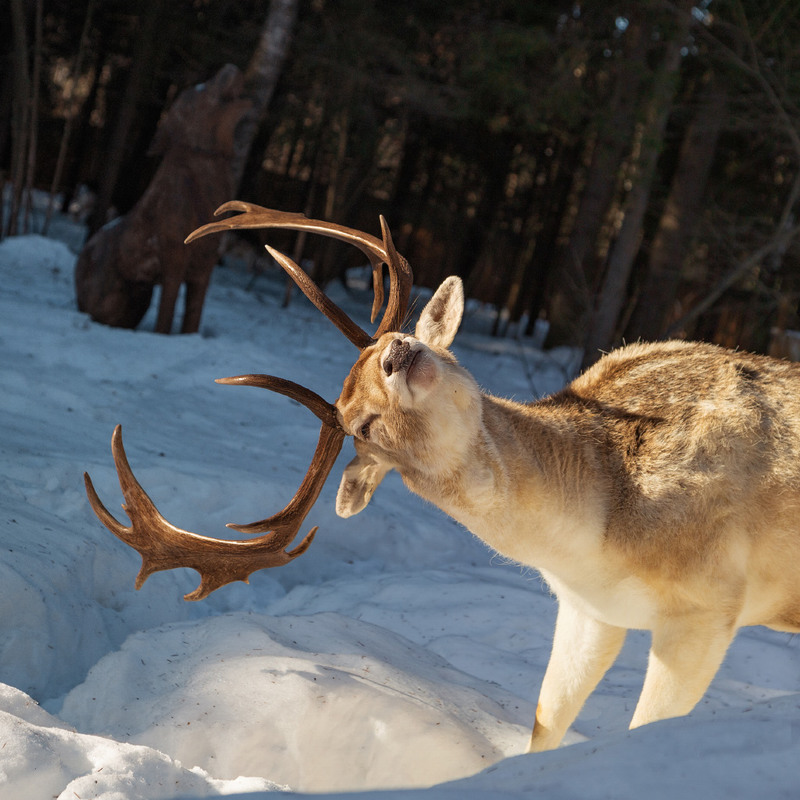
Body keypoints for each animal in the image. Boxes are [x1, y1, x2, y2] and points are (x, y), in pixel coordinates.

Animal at [84, 203, 800, 752]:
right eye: (364, 424)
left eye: (408, 336)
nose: (398, 352)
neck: (598, 533)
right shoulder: (597, 611)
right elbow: (544, 723)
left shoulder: (709, 603)